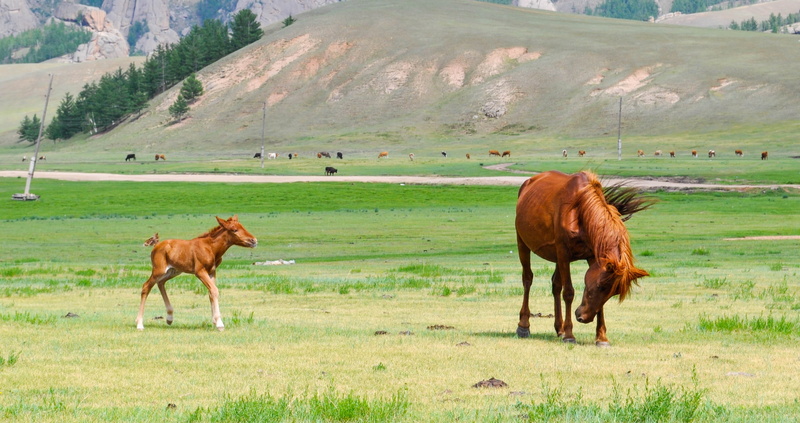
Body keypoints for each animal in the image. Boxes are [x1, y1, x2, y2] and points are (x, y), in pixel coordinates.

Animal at [515, 171, 651, 346]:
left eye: (613, 292)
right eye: (600, 286)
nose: (584, 318)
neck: (581, 210)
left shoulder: (593, 256)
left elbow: (598, 304)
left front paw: (601, 337)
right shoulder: (564, 254)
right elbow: (568, 292)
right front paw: (569, 335)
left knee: (555, 285)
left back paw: (559, 328)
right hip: (523, 244)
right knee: (527, 279)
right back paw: (524, 325)